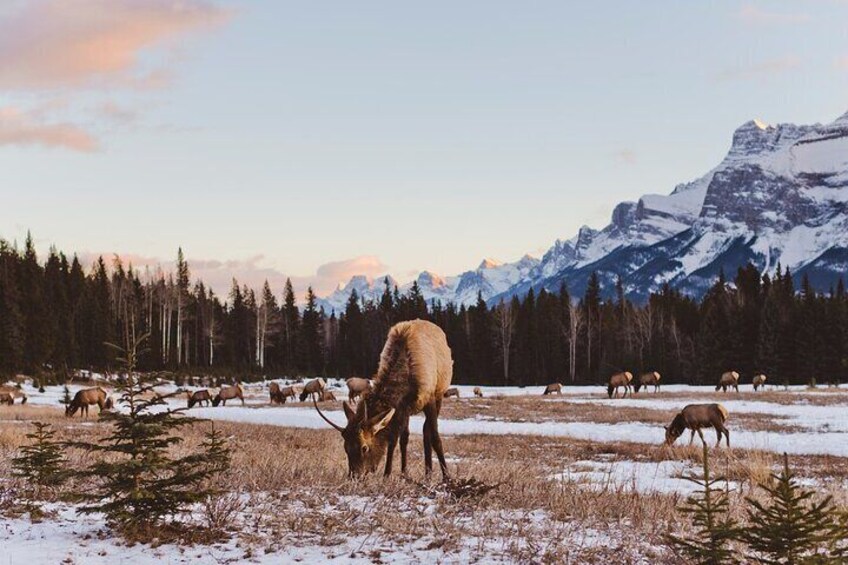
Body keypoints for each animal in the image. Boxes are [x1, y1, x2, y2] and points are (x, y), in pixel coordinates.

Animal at [314, 318, 454, 476]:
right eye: (346, 448)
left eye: (364, 448)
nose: (354, 475)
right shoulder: (400, 407)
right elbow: (393, 439)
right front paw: (387, 474)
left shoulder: (429, 398)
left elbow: (435, 437)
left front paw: (447, 477)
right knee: (406, 437)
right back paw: (409, 473)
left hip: (439, 394)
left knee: (426, 431)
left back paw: (428, 473)